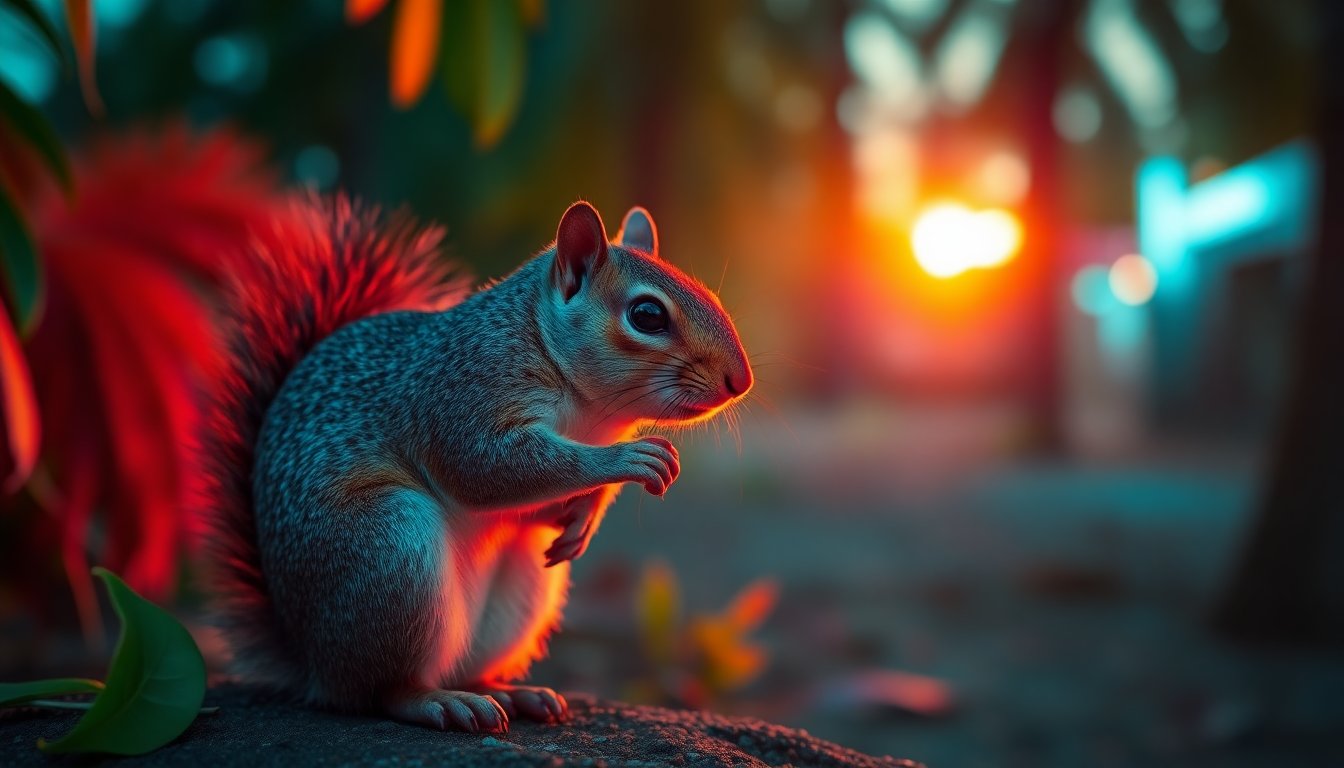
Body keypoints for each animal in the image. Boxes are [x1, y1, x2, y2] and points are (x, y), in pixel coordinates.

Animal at [201, 196, 752, 733]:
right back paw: (436, 702)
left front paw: (585, 515)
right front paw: (631, 459)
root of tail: (311, 661)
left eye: (710, 295)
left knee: (463, 665)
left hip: (519, 594)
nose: (741, 380)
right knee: (379, 690)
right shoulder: (462, 393)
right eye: (647, 314)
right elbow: (485, 468)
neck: (588, 413)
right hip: (388, 550)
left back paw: (509, 691)